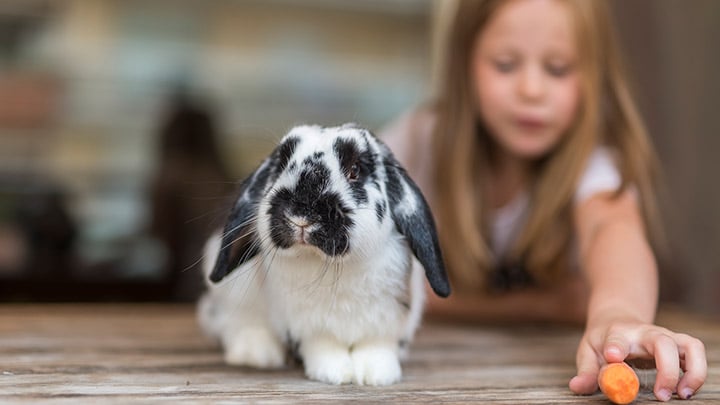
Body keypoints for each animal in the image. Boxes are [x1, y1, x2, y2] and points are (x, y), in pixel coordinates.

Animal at [194, 122, 448, 386]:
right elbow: (324, 347)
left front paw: (377, 375)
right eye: (282, 164)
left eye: (355, 170)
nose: (300, 214)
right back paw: (256, 353)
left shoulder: (386, 324)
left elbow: (377, 347)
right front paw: (335, 373)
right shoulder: (311, 328)